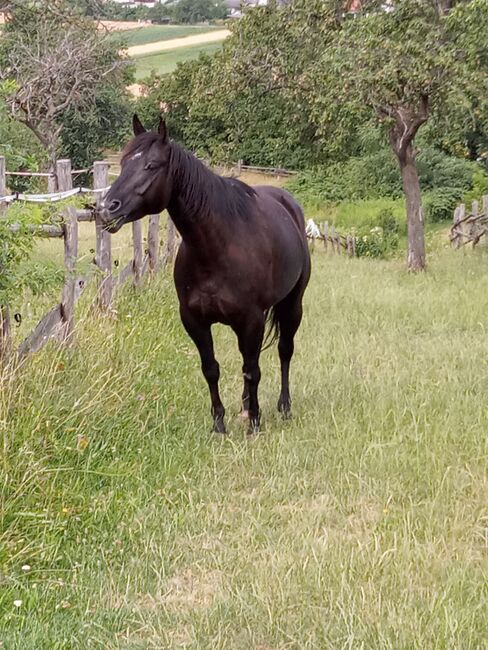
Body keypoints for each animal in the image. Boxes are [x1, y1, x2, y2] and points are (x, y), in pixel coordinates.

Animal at [101, 116, 310, 432]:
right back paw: (246, 405)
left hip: (291, 305)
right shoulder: (194, 320)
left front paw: (255, 423)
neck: (217, 248)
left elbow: (253, 370)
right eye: (124, 163)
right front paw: (220, 424)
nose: (106, 208)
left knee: (284, 350)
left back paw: (283, 406)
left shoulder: (251, 319)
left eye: (151, 165)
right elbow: (212, 368)